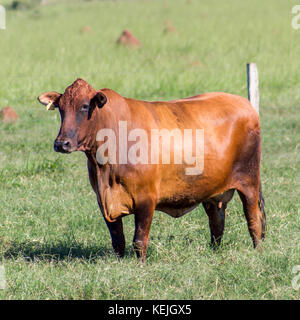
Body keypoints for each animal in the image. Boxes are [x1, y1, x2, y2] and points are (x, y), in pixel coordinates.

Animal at [38, 78, 268, 262]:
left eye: (85, 106)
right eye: (61, 108)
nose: (61, 143)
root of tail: (244, 103)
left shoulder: (146, 198)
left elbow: (139, 240)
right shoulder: (102, 200)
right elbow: (118, 240)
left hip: (249, 182)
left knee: (253, 220)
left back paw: (258, 252)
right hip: (213, 192)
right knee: (217, 223)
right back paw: (214, 252)